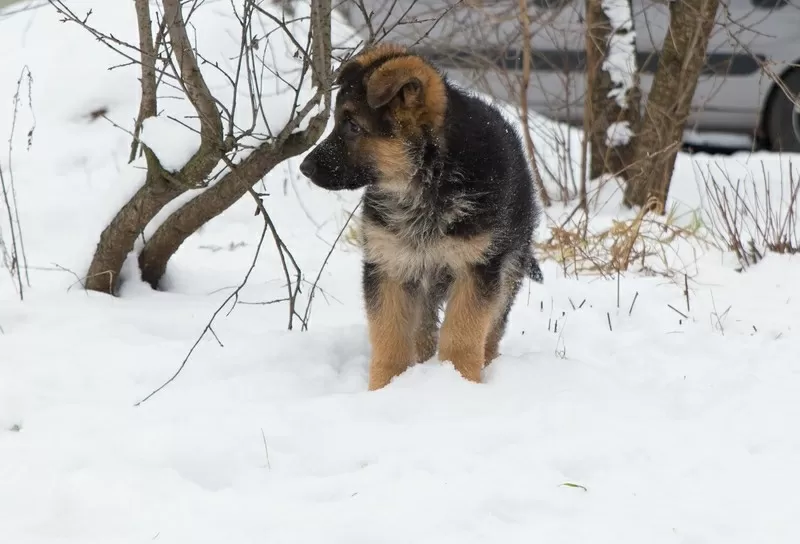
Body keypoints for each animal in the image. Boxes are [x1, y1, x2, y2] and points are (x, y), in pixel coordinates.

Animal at [300, 44, 544, 388]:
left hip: (507, 266)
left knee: (492, 330)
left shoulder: (476, 269)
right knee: (423, 331)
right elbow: (390, 337)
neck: (428, 179)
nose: (304, 167)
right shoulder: (390, 265)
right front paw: (384, 388)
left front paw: (460, 381)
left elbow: (462, 335)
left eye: (353, 126)